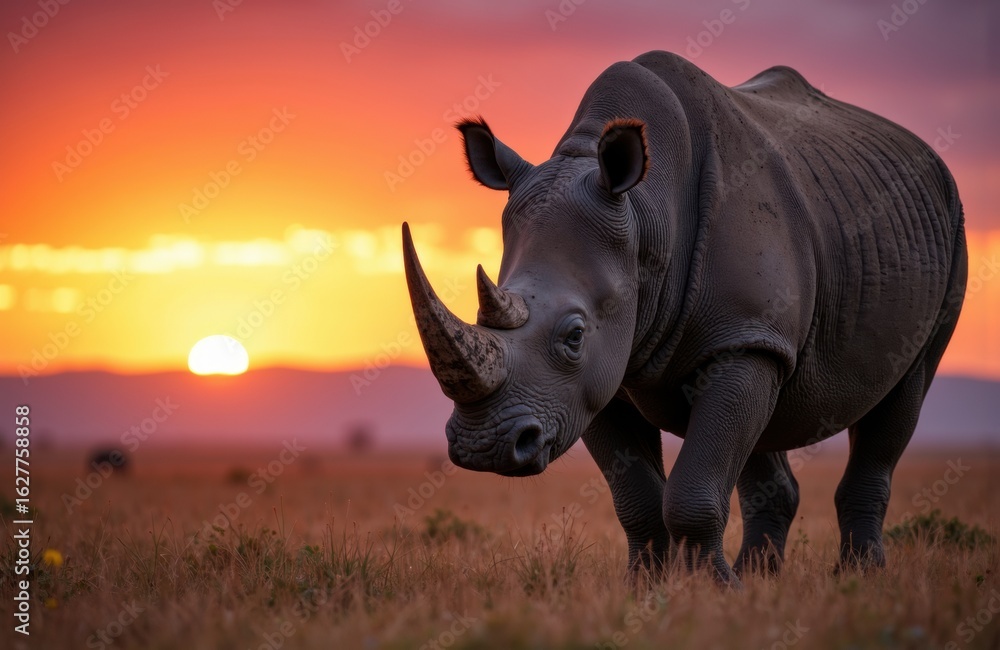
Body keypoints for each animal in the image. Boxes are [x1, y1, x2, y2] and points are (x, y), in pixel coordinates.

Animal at [401, 51, 967, 585]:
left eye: (575, 335)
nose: (483, 448)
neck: (646, 216)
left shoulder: (735, 336)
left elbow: (695, 489)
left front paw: (713, 595)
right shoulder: (601, 375)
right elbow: (637, 498)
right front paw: (645, 589)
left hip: (948, 225)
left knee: (903, 393)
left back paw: (857, 579)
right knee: (766, 418)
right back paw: (761, 579)